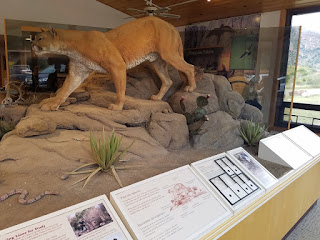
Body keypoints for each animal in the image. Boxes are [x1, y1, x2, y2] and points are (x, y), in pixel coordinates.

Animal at [33, 16, 196, 110]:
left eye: (40, 38)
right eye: (35, 38)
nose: (32, 45)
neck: (72, 47)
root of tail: (171, 25)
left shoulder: (117, 65)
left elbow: (120, 89)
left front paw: (117, 106)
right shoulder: (77, 72)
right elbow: (65, 89)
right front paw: (53, 104)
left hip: (168, 54)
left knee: (190, 67)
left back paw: (191, 87)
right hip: (157, 61)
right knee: (168, 80)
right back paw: (157, 98)